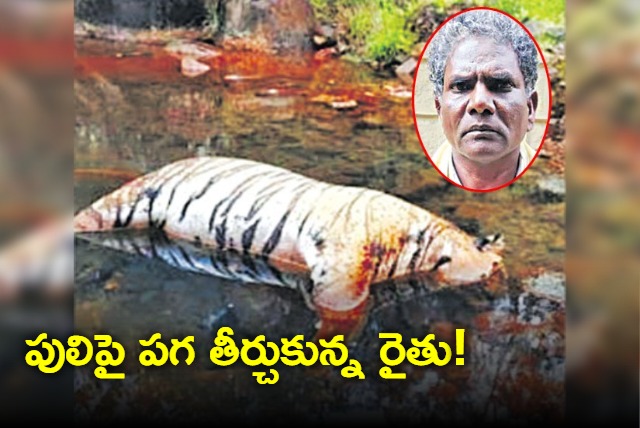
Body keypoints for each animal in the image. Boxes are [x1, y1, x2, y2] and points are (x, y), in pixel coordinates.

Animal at [74, 156, 505, 316]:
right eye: (488, 276)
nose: (496, 289)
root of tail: (157, 168)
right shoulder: (347, 256)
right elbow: (344, 302)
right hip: (119, 205)